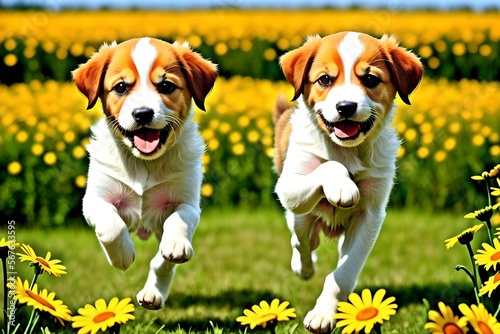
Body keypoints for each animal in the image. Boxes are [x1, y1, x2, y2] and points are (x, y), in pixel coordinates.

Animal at [73, 37, 217, 310]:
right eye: (120, 87)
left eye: (166, 85)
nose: (142, 114)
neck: (144, 164)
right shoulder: (95, 199)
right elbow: (110, 225)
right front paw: (122, 255)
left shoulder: (187, 201)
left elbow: (178, 222)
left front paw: (176, 243)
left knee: (163, 263)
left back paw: (153, 293)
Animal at [274, 32, 422, 334]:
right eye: (324, 80)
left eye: (371, 79)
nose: (345, 107)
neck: (348, 151)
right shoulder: (289, 185)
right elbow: (329, 165)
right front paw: (343, 185)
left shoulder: (371, 214)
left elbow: (344, 272)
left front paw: (324, 314)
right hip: (300, 217)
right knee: (302, 241)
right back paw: (304, 266)